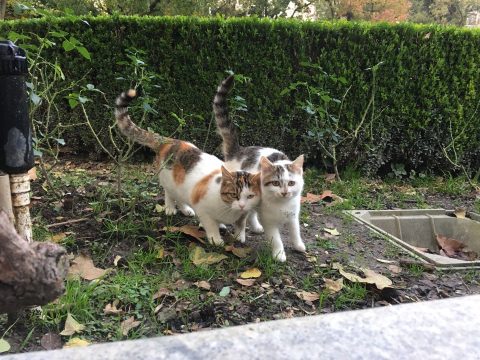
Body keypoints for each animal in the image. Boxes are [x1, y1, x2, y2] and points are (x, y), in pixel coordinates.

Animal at [115, 89, 262, 246]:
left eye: (250, 196)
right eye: (234, 194)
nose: (242, 205)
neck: (229, 210)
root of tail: (169, 141)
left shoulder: (243, 214)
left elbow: (241, 224)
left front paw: (239, 237)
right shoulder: (203, 209)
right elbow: (210, 224)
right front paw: (216, 239)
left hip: (182, 185)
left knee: (180, 197)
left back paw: (186, 210)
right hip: (169, 181)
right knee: (169, 193)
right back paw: (170, 208)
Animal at [213, 76, 306, 262]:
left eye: (291, 183)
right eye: (276, 183)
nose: (285, 192)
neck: (282, 205)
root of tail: (238, 151)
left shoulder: (293, 215)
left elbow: (295, 231)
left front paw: (298, 245)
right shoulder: (269, 220)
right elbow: (276, 238)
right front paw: (279, 254)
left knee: (250, 213)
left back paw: (255, 226)